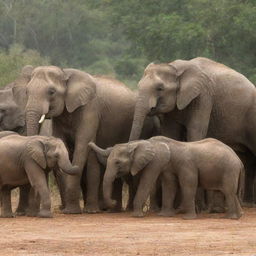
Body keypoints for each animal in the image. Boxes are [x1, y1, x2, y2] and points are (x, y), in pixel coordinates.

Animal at [13, 65, 159, 214]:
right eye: (27, 91)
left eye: (51, 92)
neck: (65, 74)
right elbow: (63, 145)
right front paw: (68, 210)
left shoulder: (90, 109)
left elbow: (82, 146)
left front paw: (71, 212)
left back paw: (100, 210)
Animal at [90, 136, 244, 220]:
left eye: (117, 163)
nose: (114, 201)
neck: (137, 143)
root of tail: (239, 161)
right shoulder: (168, 166)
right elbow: (169, 185)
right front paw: (164, 216)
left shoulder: (160, 161)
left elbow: (186, 183)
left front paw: (137, 216)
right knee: (233, 193)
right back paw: (238, 216)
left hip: (229, 170)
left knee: (229, 191)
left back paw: (230, 218)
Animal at [129, 57, 256, 203]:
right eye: (138, 85)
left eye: (160, 88)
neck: (175, 67)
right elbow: (171, 134)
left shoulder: (203, 96)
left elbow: (195, 132)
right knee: (248, 160)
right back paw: (247, 202)